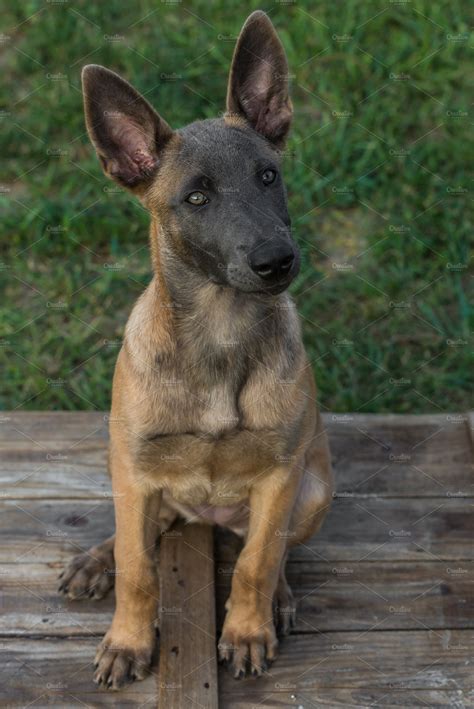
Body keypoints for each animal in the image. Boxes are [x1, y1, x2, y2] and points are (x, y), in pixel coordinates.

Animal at [59, 8, 332, 688]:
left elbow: (256, 563)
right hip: (132, 475)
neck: (219, 330)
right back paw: (96, 559)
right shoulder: (134, 469)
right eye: (197, 197)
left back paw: (278, 601)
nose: (276, 260)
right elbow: (139, 570)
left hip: (313, 490)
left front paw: (248, 630)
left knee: (272, 550)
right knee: (140, 532)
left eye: (269, 176)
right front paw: (128, 642)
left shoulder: (281, 475)